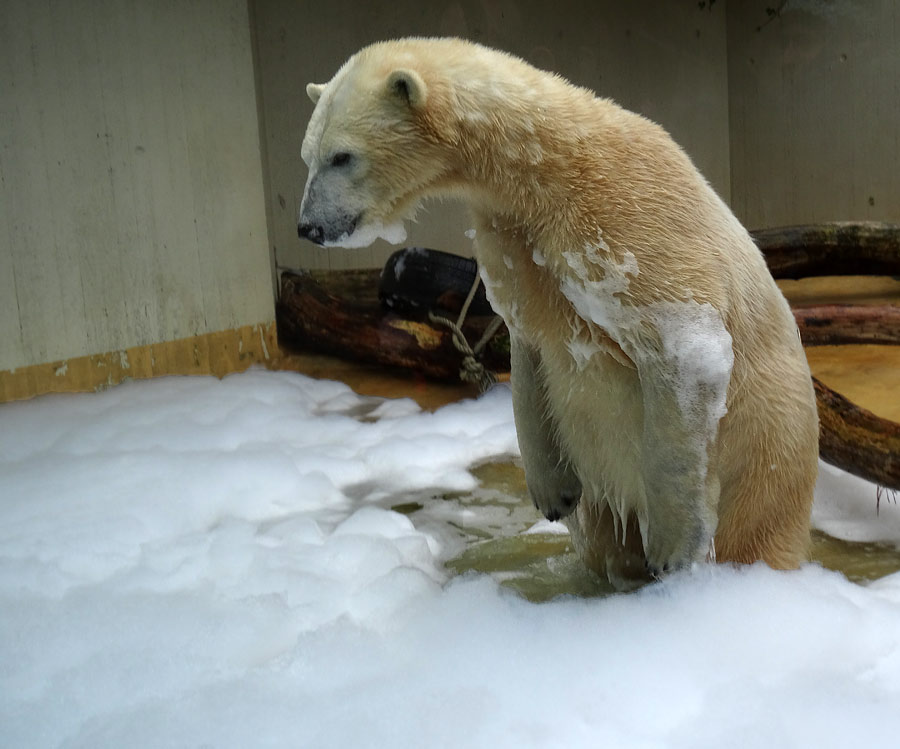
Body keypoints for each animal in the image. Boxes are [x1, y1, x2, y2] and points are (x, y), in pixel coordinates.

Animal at [298, 38, 820, 588]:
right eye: (308, 156)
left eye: (342, 156)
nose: (309, 227)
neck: (546, 168)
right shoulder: (511, 238)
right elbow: (530, 348)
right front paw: (553, 492)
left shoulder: (630, 218)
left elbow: (682, 344)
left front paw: (673, 547)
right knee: (603, 532)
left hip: (771, 446)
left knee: (757, 527)